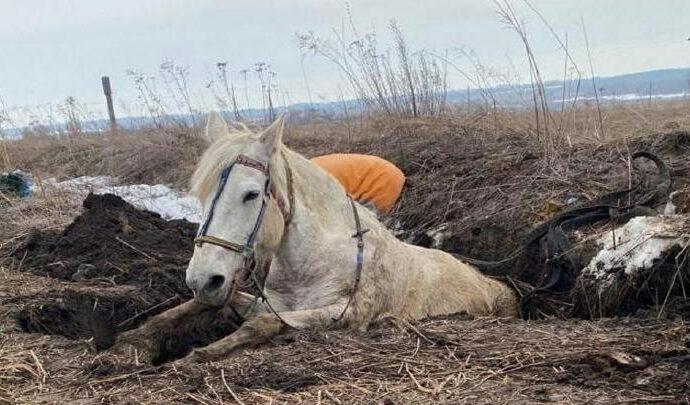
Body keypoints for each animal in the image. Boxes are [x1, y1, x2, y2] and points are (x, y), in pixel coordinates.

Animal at [108, 112, 517, 364]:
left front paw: (201, 354)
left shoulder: (344, 314)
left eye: (251, 194)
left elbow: (260, 325)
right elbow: (197, 307)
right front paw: (131, 343)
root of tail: (494, 284)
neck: (309, 263)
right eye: (201, 195)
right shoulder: (265, 301)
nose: (203, 278)